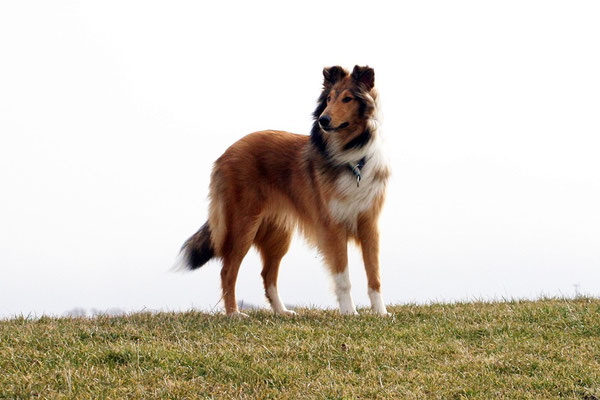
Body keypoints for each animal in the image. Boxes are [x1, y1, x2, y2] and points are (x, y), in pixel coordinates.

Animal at [175, 65, 390, 316]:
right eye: (328, 99)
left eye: (347, 99)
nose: (323, 120)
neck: (352, 158)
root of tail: (227, 152)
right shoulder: (333, 227)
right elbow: (343, 277)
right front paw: (349, 312)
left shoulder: (369, 225)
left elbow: (375, 275)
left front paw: (381, 313)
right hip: (243, 225)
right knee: (227, 270)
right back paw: (234, 314)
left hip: (278, 233)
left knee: (267, 274)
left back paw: (281, 311)